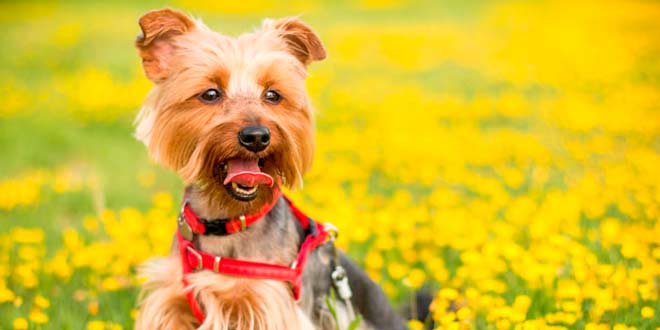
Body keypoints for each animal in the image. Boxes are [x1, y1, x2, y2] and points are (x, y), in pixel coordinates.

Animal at [131, 7, 404, 330]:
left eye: (273, 95)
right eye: (210, 94)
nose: (257, 136)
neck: (227, 221)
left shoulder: (270, 301)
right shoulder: (172, 302)